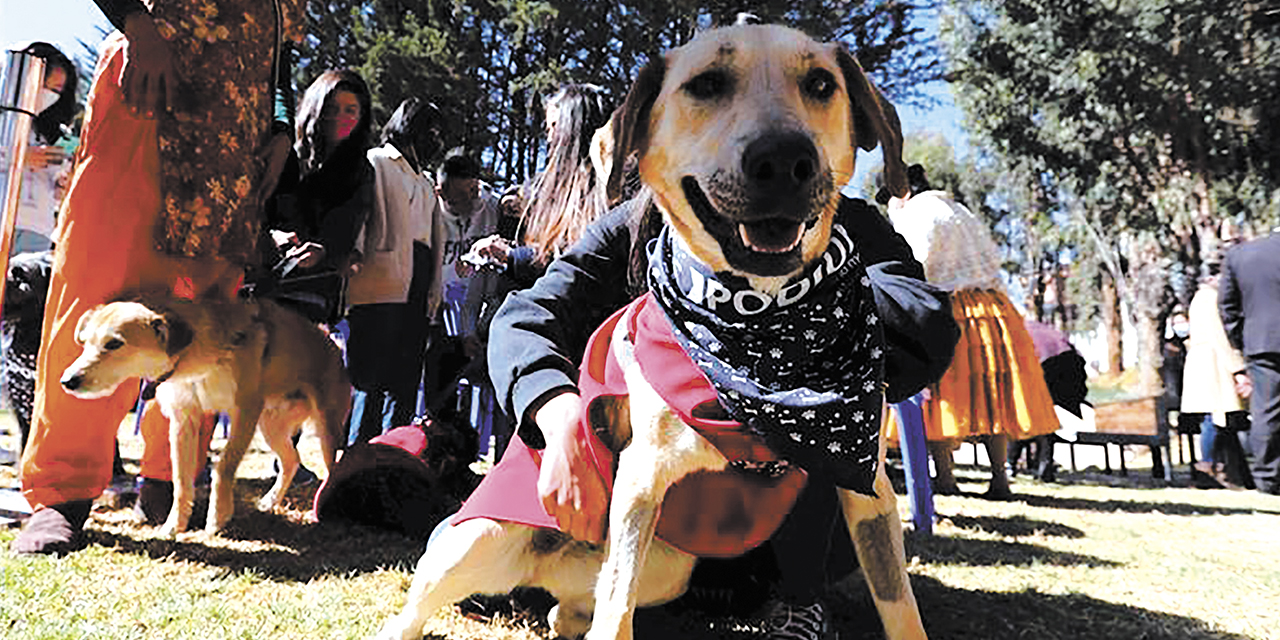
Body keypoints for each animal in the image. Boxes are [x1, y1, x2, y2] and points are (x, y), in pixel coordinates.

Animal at [60, 293, 350, 537]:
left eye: (114, 343)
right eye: (85, 343)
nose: (67, 381)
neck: (196, 358)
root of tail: (331, 343)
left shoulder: (244, 411)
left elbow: (223, 466)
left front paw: (217, 518)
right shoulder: (183, 418)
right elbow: (180, 479)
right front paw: (173, 526)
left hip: (326, 429)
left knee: (333, 465)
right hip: (271, 426)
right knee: (291, 460)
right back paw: (270, 501)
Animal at [373, 22, 926, 640]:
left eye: (822, 84)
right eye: (706, 84)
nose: (786, 160)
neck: (759, 322)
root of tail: (547, 565)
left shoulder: (869, 491)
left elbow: (901, 606)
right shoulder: (641, 480)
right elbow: (617, 614)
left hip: (669, 567)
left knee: (577, 609)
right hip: (478, 538)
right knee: (423, 609)